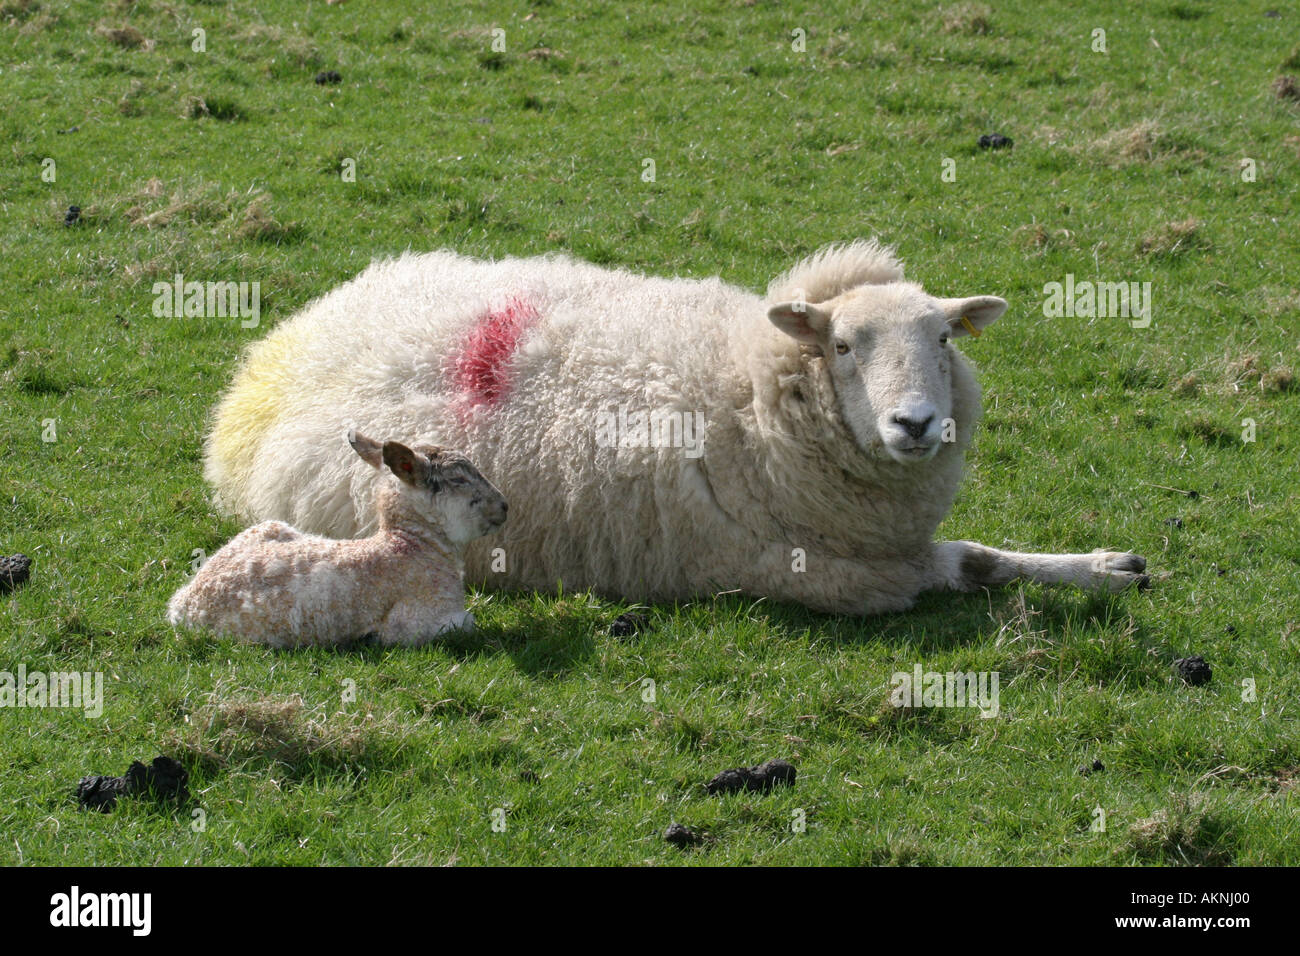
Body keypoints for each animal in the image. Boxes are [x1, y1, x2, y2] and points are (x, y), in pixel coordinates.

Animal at [168, 432, 508, 646]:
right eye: (458, 479)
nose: (504, 506)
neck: (410, 546)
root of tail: (183, 603)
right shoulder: (420, 622)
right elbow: (468, 622)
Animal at [202, 240, 1147, 616]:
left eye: (944, 339)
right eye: (843, 345)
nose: (916, 423)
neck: (748, 396)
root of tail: (272, 359)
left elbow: (981, 557)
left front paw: (1104, 565)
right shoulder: (836, 575)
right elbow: (964, 567)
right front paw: (1087, 569)